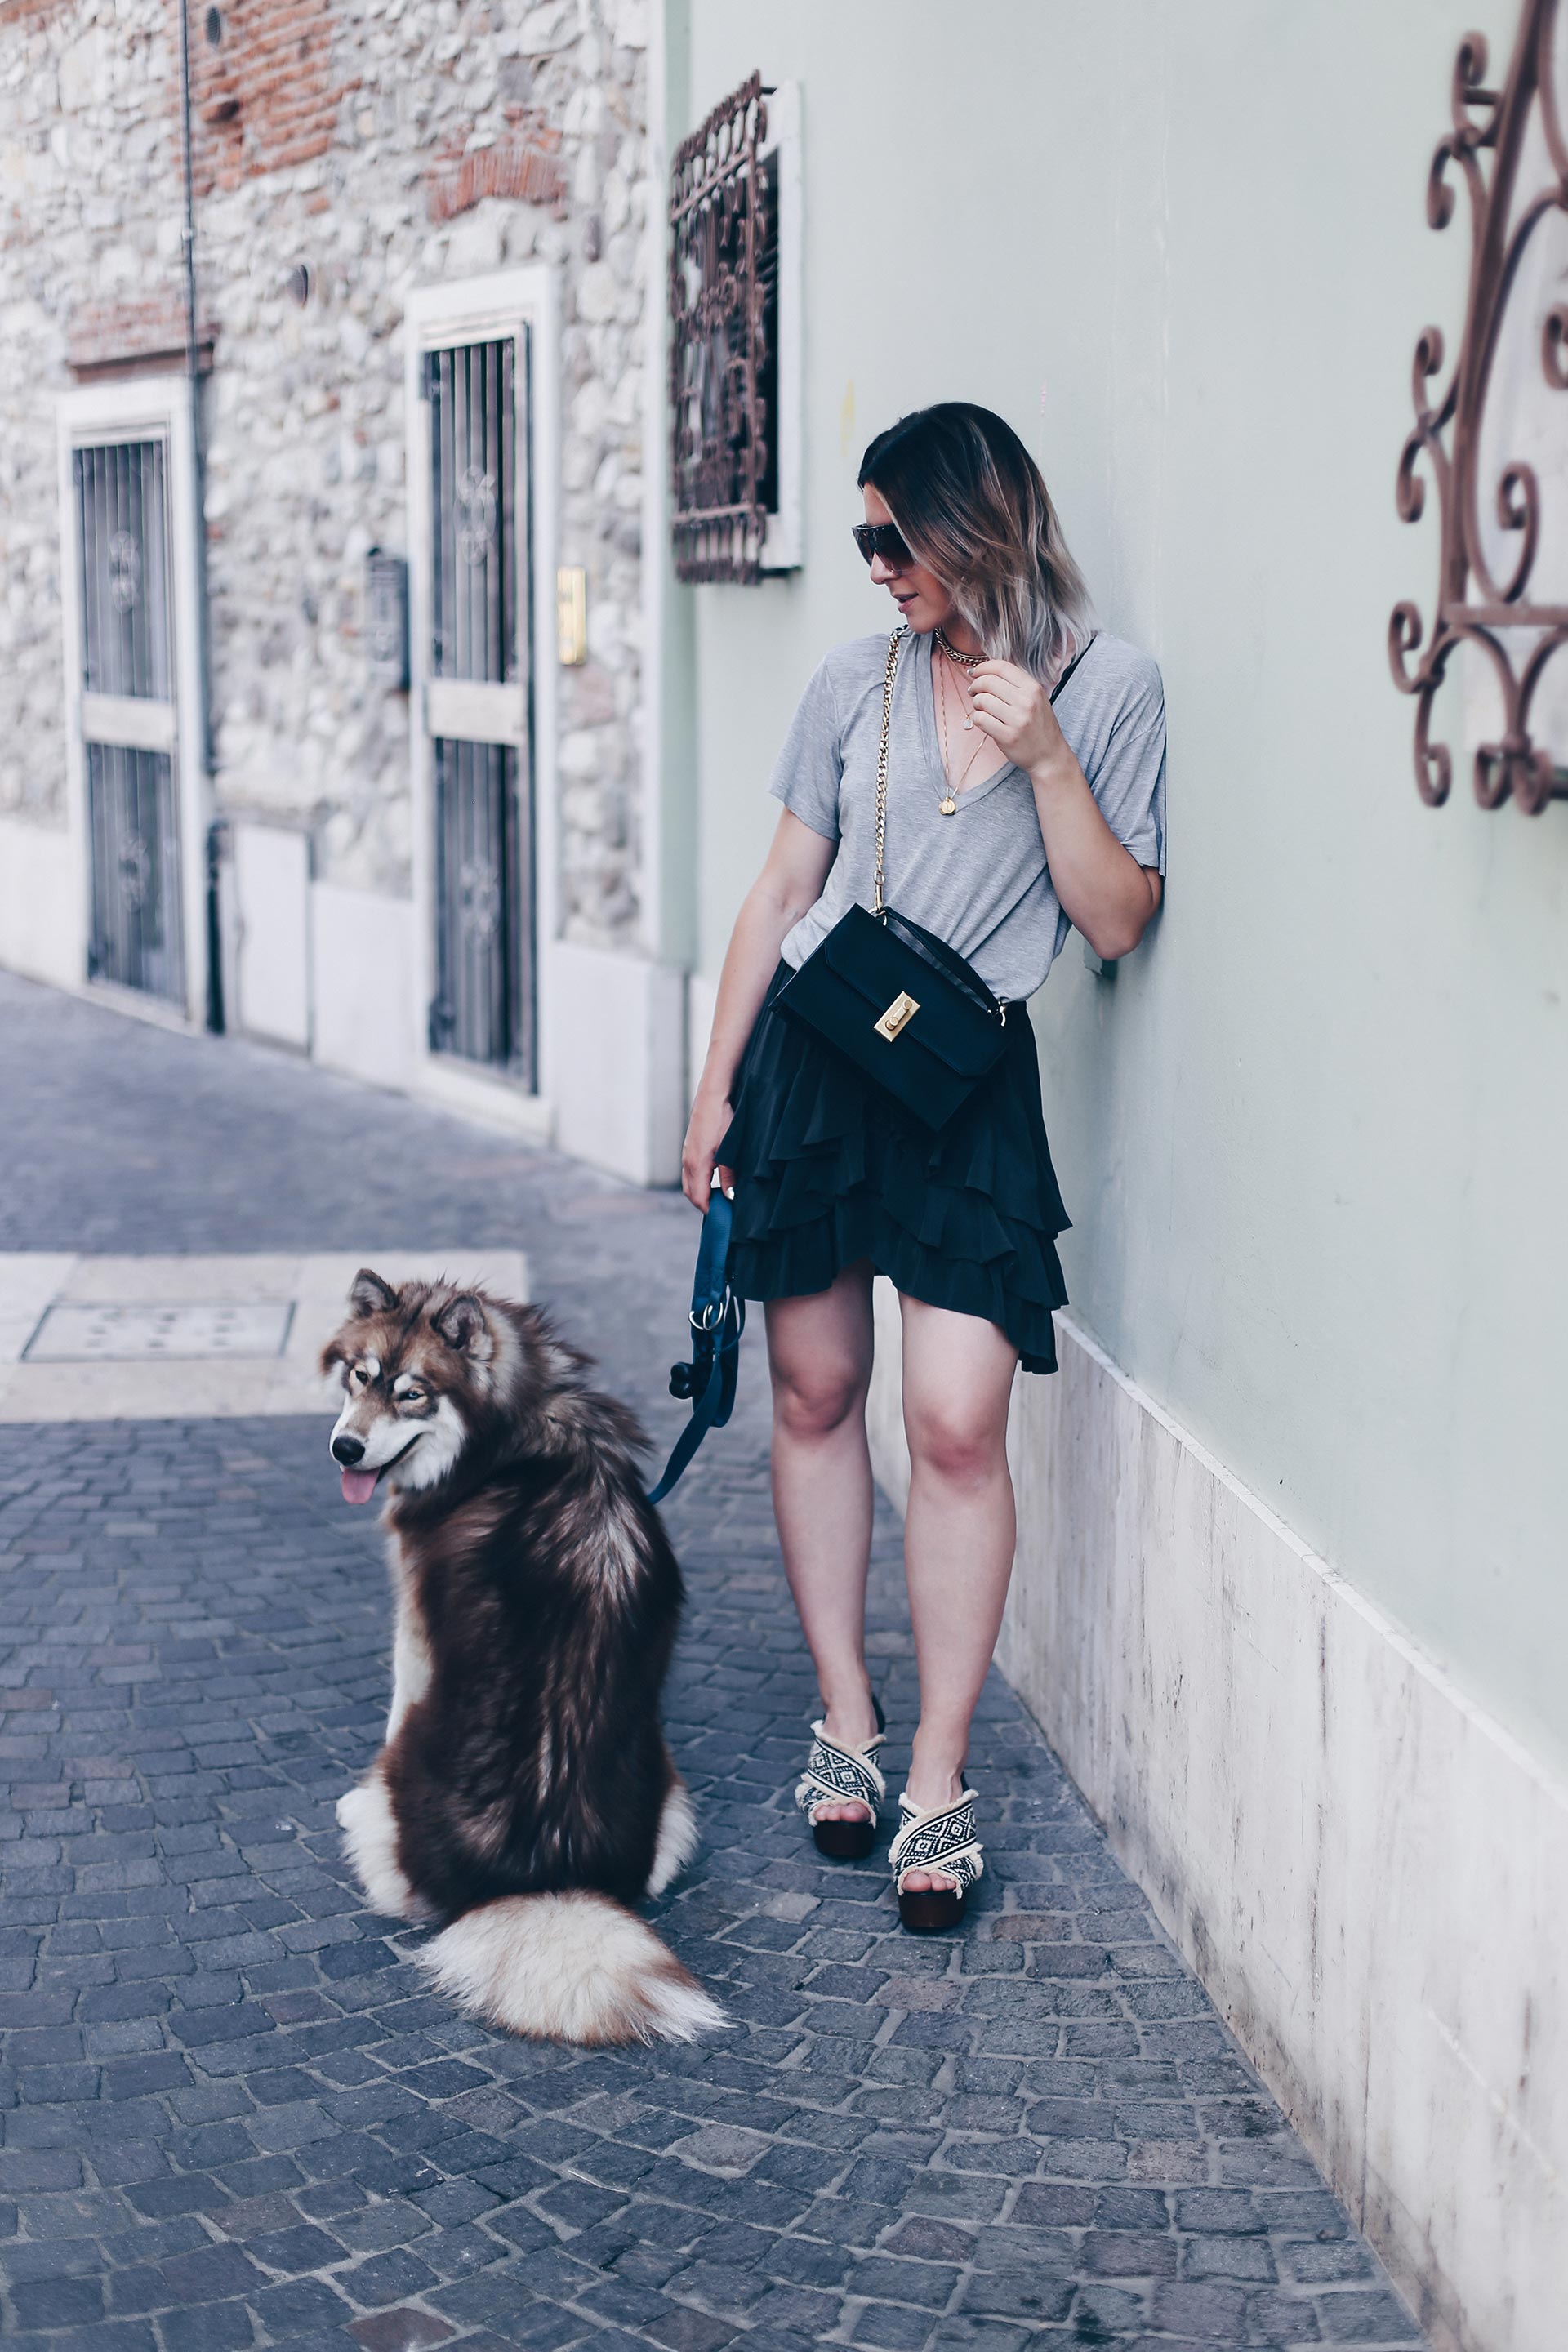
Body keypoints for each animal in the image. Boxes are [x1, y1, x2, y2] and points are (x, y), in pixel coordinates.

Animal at [327, 1260, 728, 2051]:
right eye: (360, 1377)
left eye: (412, 1393)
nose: (345, 1451)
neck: (512, 1431)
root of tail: (538, 1880)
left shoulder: (414, 1626)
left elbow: (397, 1697)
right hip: (669, 1790)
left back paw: (362, 1808)